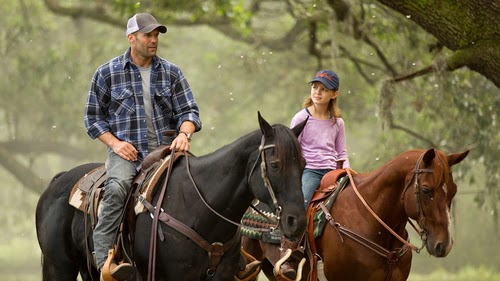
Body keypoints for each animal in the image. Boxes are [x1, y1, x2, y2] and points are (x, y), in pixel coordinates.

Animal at [35, 112, 306, 278]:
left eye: (303, 164)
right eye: (275, 165)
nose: (297, 221)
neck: (199, 207)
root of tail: (57, 181)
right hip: (59, 266)